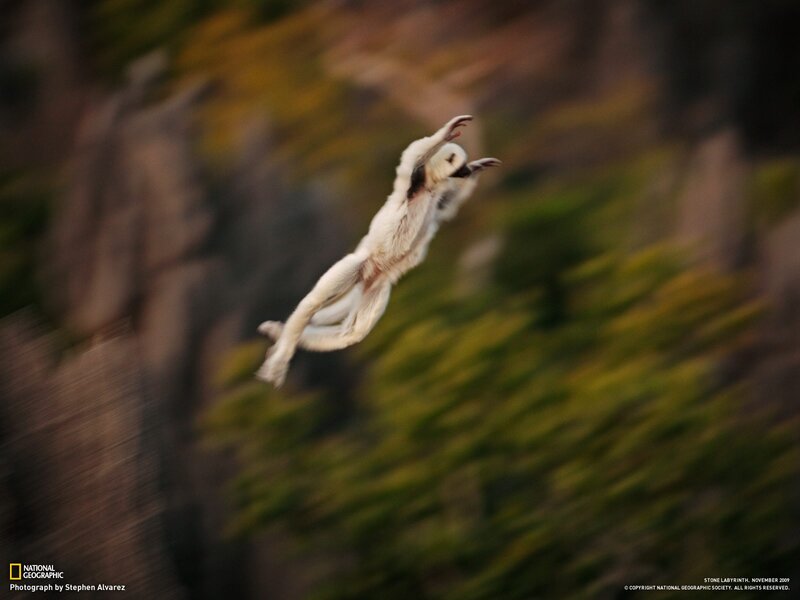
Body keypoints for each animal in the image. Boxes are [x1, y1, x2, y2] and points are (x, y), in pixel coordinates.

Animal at [256, 115, 500, 387]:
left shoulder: (439, 198)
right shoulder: (413, 182)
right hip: (356, 266)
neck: (428, 188)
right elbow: (413, 156)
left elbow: (450, 205)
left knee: (352, 333)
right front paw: (445, 134)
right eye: (460, 168)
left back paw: (286, 335)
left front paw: (479, 167)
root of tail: (371, 272)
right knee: (314, 303)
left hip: (376, 285)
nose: (467, 171)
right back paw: (281, 355)